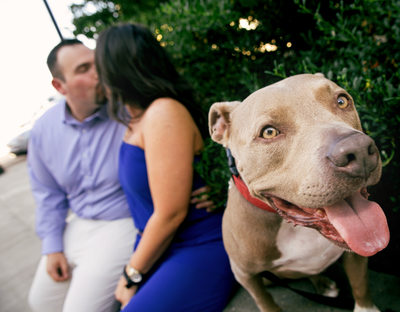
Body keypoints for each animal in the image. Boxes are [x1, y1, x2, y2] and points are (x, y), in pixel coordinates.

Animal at [209, 73, 390, 312]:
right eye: (269, 132)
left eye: (342, 101)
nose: (359, 151)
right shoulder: (245, 275)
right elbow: (265, 302)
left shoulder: (358, 254)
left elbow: (360, 284)